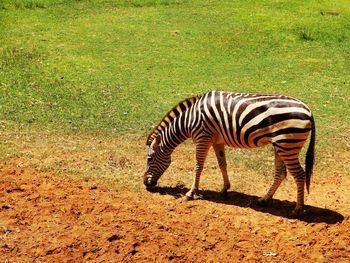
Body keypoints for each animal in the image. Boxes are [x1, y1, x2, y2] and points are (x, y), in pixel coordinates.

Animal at [144, 91, 316, 217]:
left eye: (149, 158)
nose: (146, 184)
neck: (189, 119)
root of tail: (308, 109)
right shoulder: (217, 141)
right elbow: (222, 164)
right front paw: (225, 188)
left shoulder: (203, 137)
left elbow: (198, 166)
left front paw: (191, 193)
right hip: (279, 145)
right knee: (280, 173)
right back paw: (264, 200)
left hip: (287, 144)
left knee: (299, 175)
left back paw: (298, 208)